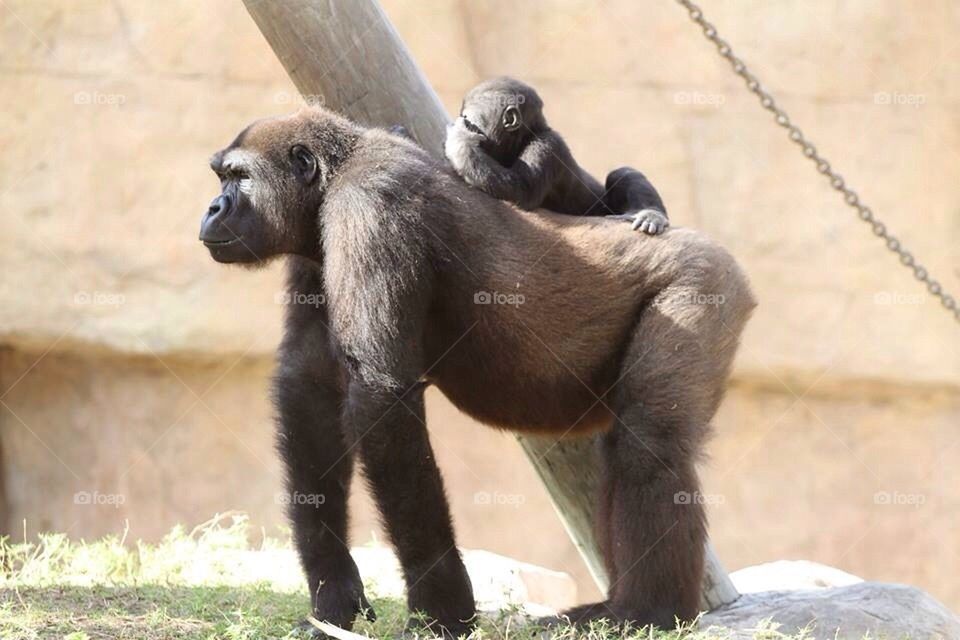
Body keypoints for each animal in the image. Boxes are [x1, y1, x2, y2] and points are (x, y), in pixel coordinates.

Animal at [199, 107, 754, 637]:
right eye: (221, 176)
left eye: (239, 177)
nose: (213, 208)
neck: (337, 173)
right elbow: (310, 386)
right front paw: (334, 596)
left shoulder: (372, 204)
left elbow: (381, 395)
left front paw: (443, 610)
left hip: (706, 282)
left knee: (650, 440)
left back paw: (649, 612)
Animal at [445, 77, 669, 235]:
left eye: (467, 118)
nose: (461, 119)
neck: (524, 137)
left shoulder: (548, 147)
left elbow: (521, 189)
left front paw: (459, 139)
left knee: (622, 174)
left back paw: (651, 214)